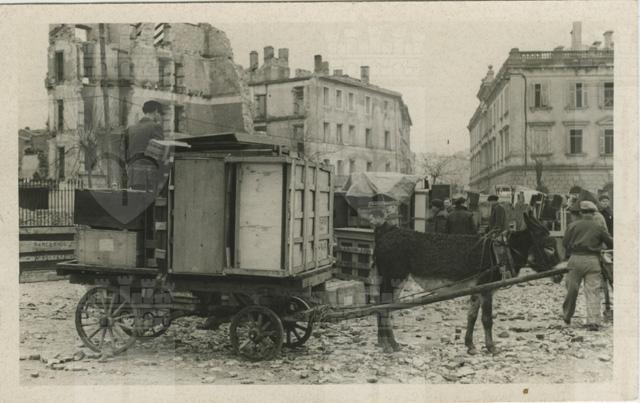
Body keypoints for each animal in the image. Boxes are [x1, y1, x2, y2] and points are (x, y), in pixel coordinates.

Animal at [370, 211, 560, 354]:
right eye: (549, 248)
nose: (559, 277)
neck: (500, 253)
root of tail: (387, 231)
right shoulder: (486, 289)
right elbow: (487, 319)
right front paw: (491, 348)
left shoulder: (476, 290)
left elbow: (472, 316)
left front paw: (470, 345)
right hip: (395, 277)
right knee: (385, 308)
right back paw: (390, 345)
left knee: (383, 306)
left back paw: (384, 342)